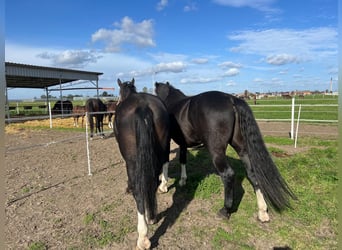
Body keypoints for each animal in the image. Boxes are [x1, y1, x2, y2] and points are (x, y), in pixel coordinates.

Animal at [113, 78, 170, 250]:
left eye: (120, 92)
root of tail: (143, 107)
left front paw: (128, 187)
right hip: (162, 146)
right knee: (154, 179)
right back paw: (152, 216)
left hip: (132, 159)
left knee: (139, 191)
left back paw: (143, 237)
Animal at [155, 81, 296, 221]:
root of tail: (231, 99)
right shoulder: (183, 143)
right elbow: (183, 159)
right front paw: (183, 180)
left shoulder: (167, 141)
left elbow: (165, 161)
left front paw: (163, 186)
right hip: (242, 148)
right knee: (252, 174)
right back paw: (262, 212)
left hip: (217, 151)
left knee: (228, 175)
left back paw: (225, 210)